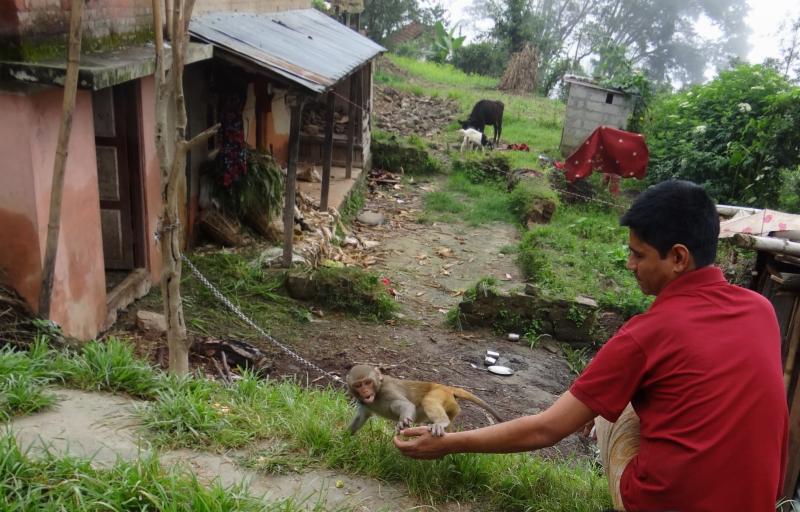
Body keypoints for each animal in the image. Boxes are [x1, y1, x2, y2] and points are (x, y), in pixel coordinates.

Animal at [346, 364, 504, 436]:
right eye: (358, 385)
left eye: (368, 383)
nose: (365, 392)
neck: (377, 392)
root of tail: (447, 388)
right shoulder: (363, 403)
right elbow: (360, 417)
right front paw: (345, 438)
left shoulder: (387, 390)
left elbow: (405, 405)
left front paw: (403, 422)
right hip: (451, 405)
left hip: (440, 393)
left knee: (428, 400)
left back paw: (441, 423)